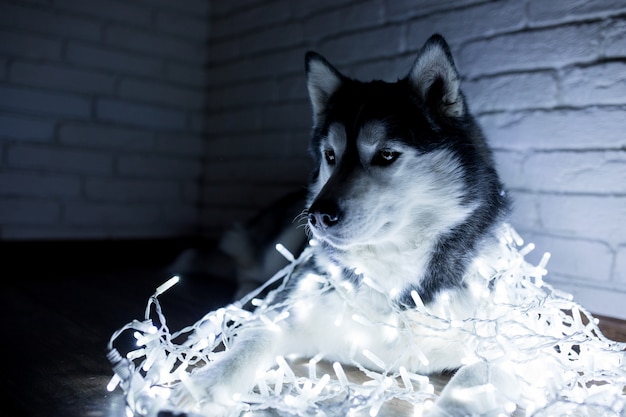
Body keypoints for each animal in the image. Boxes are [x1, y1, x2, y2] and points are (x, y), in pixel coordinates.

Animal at [177, 34, 516, 414]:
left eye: (386, 154)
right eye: (330, 156)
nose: (318, 214)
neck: (392, 273)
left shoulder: (520, 347)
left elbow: (469, 385)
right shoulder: (289, 311)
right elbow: (253, 340)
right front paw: (204, 386)